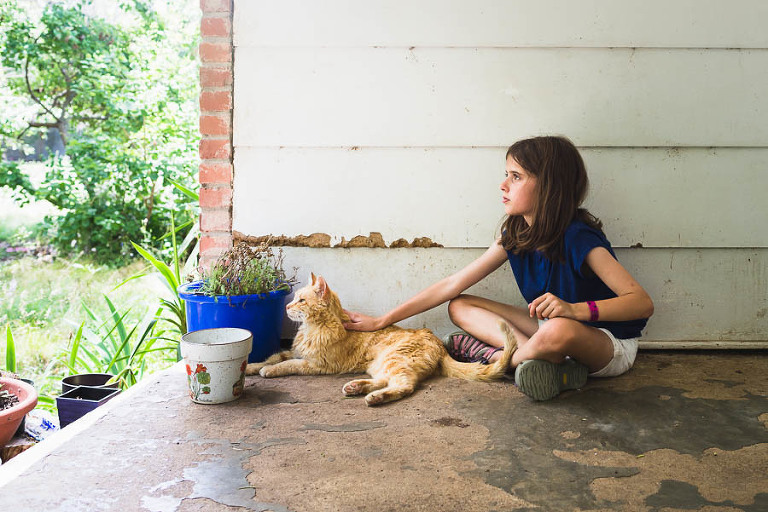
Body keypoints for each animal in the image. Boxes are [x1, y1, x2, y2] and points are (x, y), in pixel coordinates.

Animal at [249, 274, 520, 406]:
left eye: (301, 300)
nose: (287, 307)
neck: (313, 328)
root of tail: (440, 345)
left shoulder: (317, 364)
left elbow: (287, 364)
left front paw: (268, 371)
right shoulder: (296, 351)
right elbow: (273, 356)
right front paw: (253, 367)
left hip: (394, 359)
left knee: (405, 385)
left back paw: (375, 397)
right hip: (379, 363)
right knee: (384, 380)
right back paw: (357, 387)